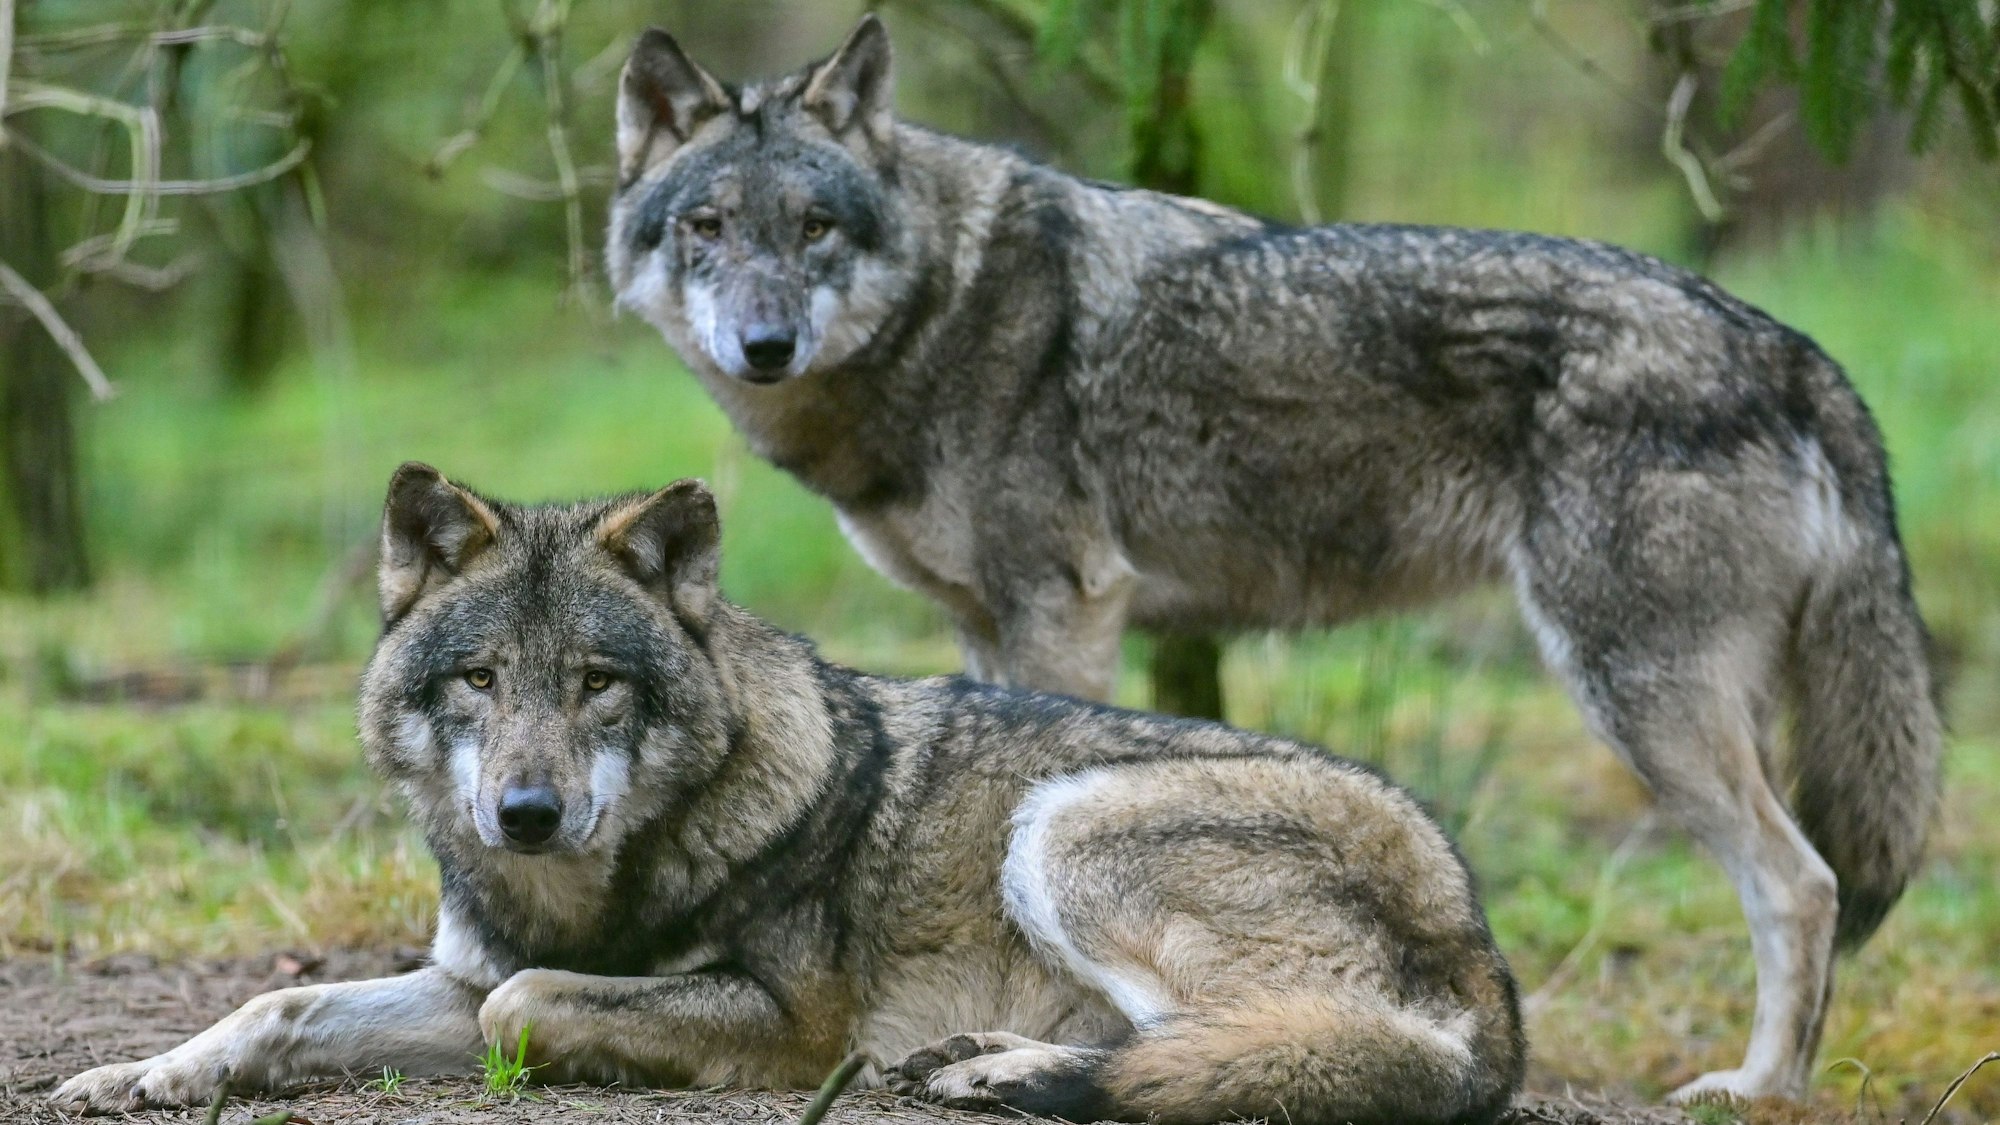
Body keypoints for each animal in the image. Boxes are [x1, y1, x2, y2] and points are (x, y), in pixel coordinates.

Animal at [53, 464, 1525, 1124]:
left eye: (597, 684)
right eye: (478, 679)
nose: (524, 814)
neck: (594, 889)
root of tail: (1484, 949)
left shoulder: (787, 1022)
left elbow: (529, 1006)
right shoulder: (462, 974)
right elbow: (283, 1004)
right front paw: (139, 1072)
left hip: (1066, 827)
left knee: (1276, 1049)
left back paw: (1010, 1071)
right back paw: (982, 1062)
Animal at [601, 14, 1944, 1103]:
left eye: (814, 228)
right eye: (708, 228)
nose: (763, 344)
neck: (946, 303)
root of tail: (1785, 345)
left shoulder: (1061, 611)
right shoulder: (988, 627)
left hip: (1634, 699)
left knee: (1802, 885)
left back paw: (1757, 1088)